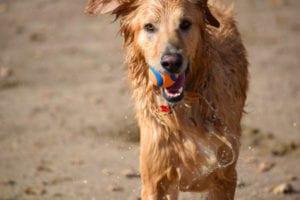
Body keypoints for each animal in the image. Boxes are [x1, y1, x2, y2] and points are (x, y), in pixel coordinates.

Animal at [85, 0, 248, 199]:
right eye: (149, 27)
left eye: (185, 24)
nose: (171, 62)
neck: (185, 109)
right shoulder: (155, 181)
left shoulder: (224, 177)